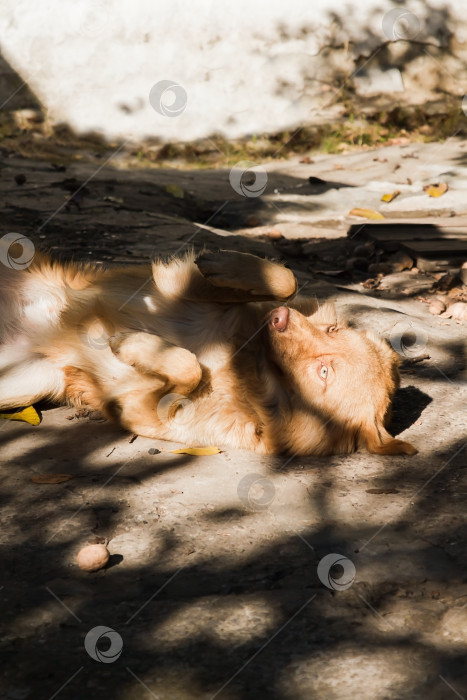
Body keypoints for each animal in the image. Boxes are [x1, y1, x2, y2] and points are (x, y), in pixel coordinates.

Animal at [0, 249, 416, 456]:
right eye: (333, 330)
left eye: (324, 371)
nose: (280, 319)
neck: (241, 365)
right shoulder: (177, 290)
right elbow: (286, 279)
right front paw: (223, 264)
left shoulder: (139, 408)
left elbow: (188, 368)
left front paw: (131, 344)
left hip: (28, 383)